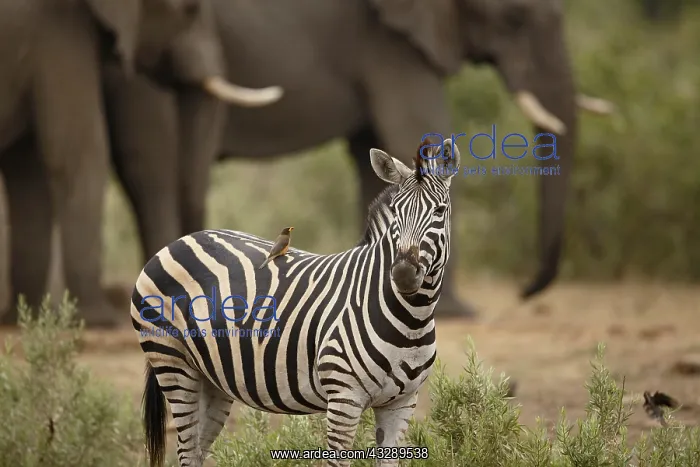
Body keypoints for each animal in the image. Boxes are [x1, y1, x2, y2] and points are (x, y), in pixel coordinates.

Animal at [131, 136, 461, 467]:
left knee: (197, 451)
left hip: (211, 377)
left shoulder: (403, 402)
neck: (412, 319)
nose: (403, 274)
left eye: (440, 211)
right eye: (396, 212)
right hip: (172, 361)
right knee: (186, 449)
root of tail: (179, 241)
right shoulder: (344, 396)